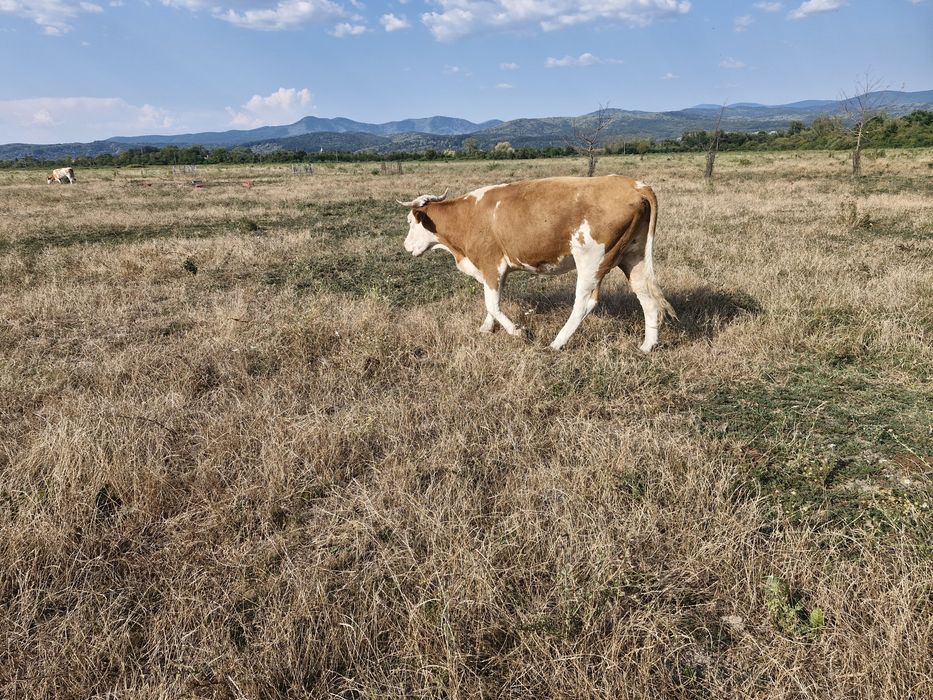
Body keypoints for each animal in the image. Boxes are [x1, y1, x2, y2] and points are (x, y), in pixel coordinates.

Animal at [398, 175, 675, 352]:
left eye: (411, 222)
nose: (406, 246)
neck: (468, 217)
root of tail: (635, 186)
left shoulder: (491, 264)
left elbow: (492, 303)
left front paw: (517, 331)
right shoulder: (497, 270)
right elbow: (491, 303)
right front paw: (487, 328)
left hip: (591, 260)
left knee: (584, 303)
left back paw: (557, 343)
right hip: (633, 256)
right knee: (647, 297)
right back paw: (647, 346)